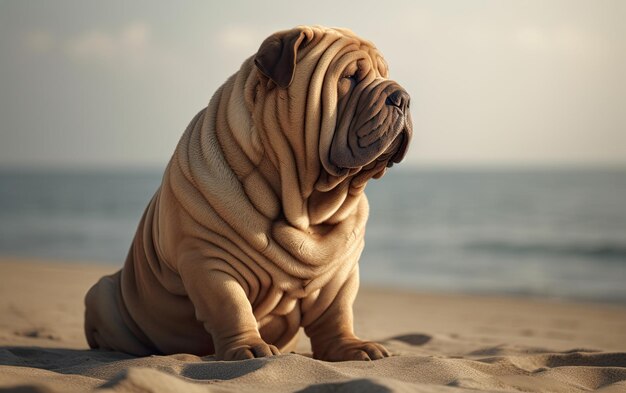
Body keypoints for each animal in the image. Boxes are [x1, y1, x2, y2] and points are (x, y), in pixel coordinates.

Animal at [85, 25, 412, 362]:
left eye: (384, 75)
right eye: (350, 77)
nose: (403, 97)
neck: (304, 204)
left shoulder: (341, 274)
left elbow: (337, 313)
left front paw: (352, 347)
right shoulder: (209, 258)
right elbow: (232, 306)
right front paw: (249, 348)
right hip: (101, 293)